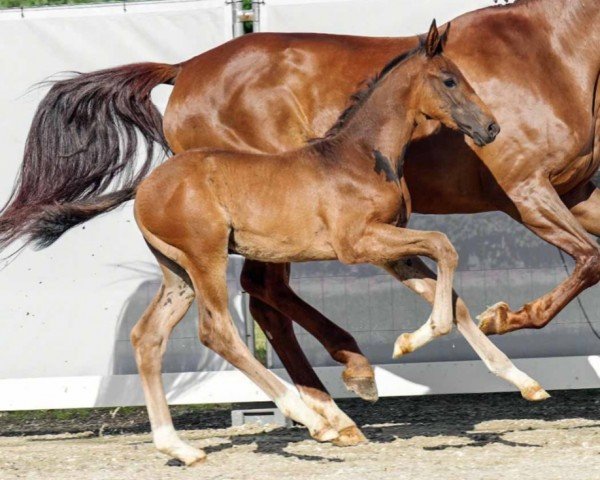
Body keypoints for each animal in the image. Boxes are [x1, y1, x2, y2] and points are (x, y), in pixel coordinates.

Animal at [130, 22, 528, 464]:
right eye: (449, 79)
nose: (491, 127)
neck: (359, 156)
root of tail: (145, 191)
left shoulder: (392, 252)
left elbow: (453, 296)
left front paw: (523, 380)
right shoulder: (357, 243)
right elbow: (444, 246)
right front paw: (410, 341)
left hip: (178, 272)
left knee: (148, 336)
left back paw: (179, 446)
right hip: (206, 258)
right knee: (217, 331)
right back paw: (315, 420)